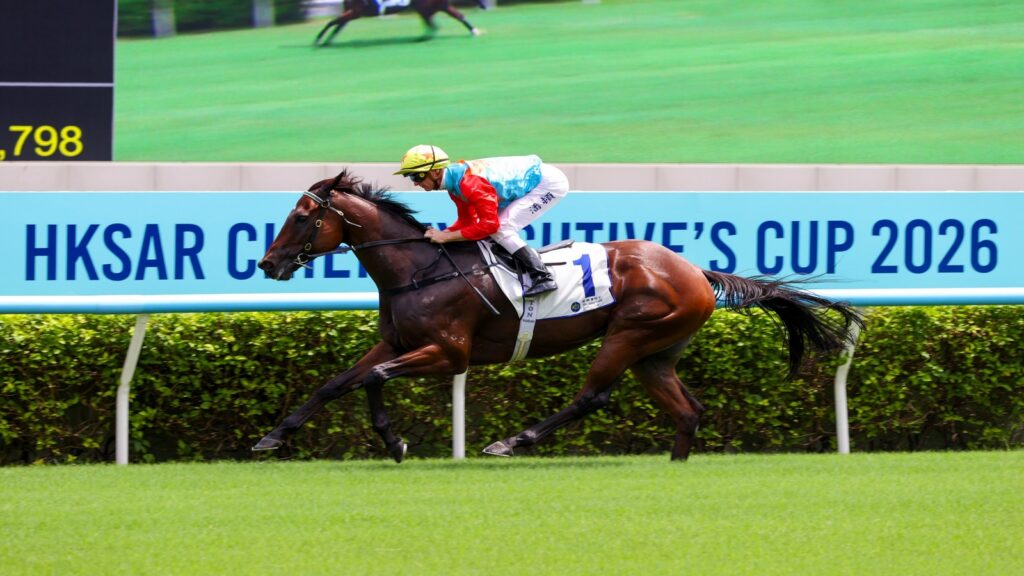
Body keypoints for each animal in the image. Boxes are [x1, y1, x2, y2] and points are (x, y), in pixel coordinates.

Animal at [253, 170, 863, 461]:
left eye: (302, 216)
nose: (267, 262)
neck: (421, 268)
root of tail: (695, 270)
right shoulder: (398, 342)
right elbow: (337, 383)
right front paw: (273, 437)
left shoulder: (449, 352)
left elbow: (374, 380)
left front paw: (394, 441)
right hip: (656, 352)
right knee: (687, 410)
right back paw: (674, 466)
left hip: (630, 333)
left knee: (593, 396)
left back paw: (511, 442)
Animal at [314, 0, 487, 46]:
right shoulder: (351, 13)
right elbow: (336, 27)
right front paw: (326, 41)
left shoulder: (355, 12)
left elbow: (331, 23)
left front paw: (318, 40)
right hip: (431, 8)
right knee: (450, 19)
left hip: (428, 8)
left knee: (436, 24)